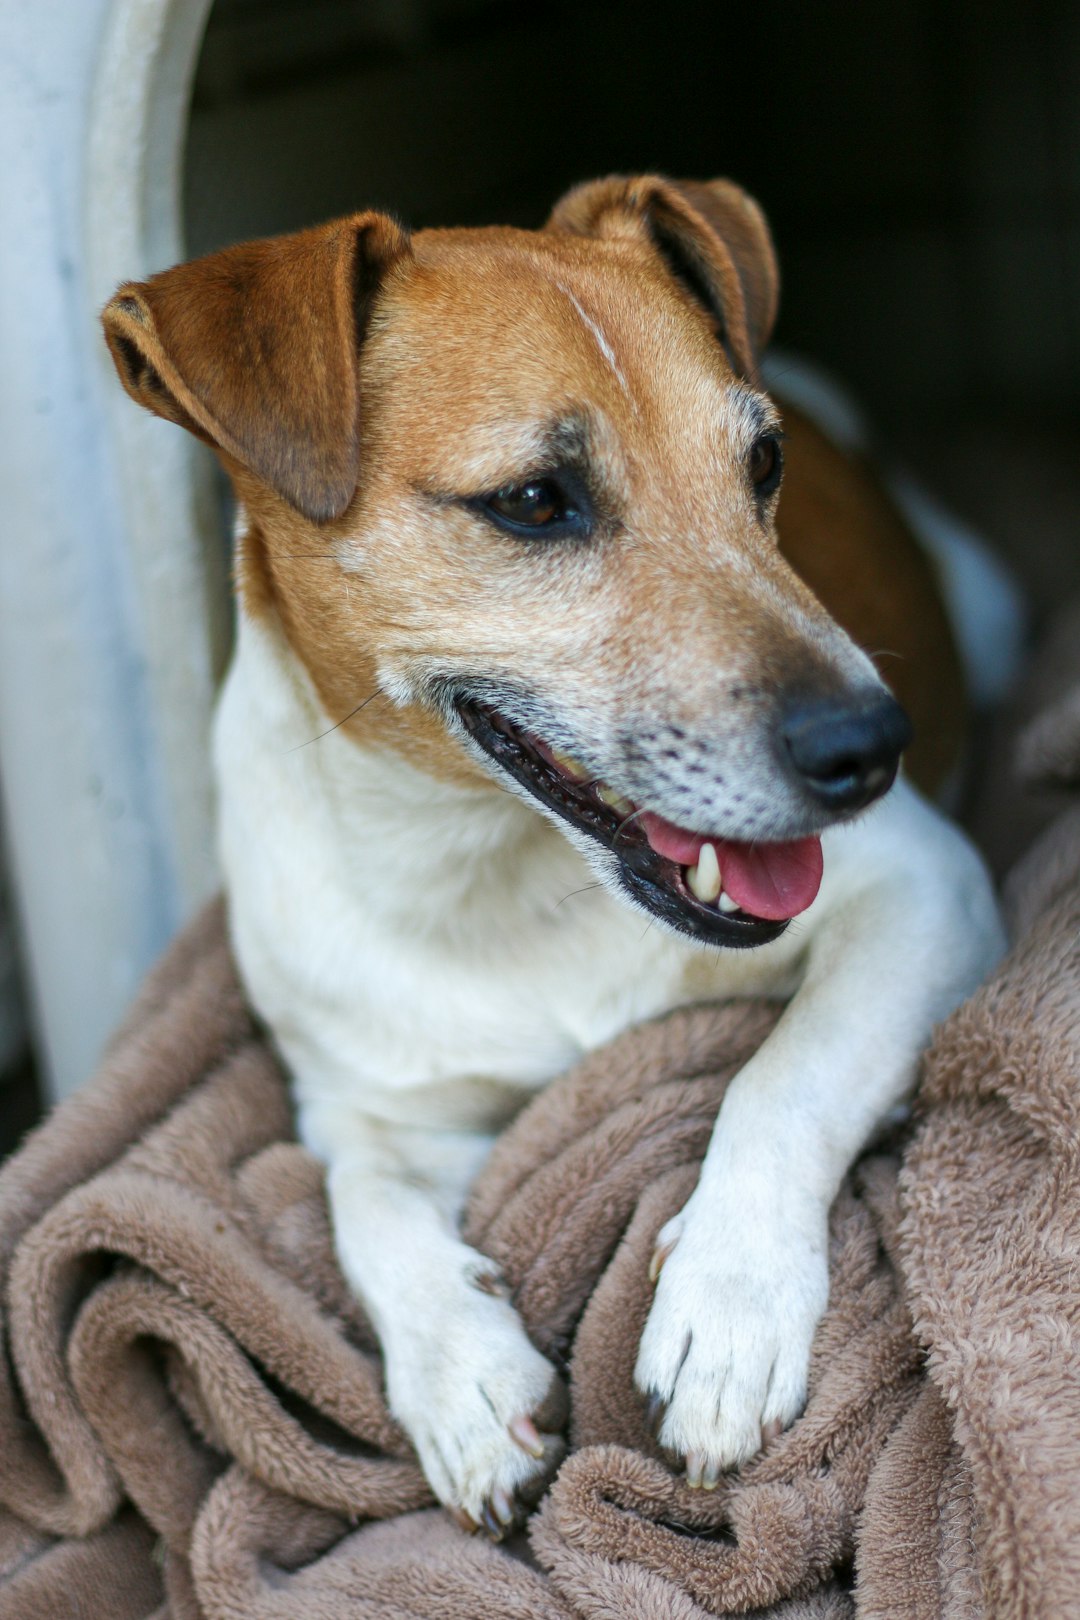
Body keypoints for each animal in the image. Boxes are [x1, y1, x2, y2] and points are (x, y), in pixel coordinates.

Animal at [101, 170, 1003, 1535]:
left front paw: (728, 1305)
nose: (871, 747)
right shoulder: (364, 1100)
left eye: (763, 464)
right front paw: (461, 1379)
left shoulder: (929, 890)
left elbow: (789, 1072)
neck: (499, 876)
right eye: (533, 502)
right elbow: (361, 1208)